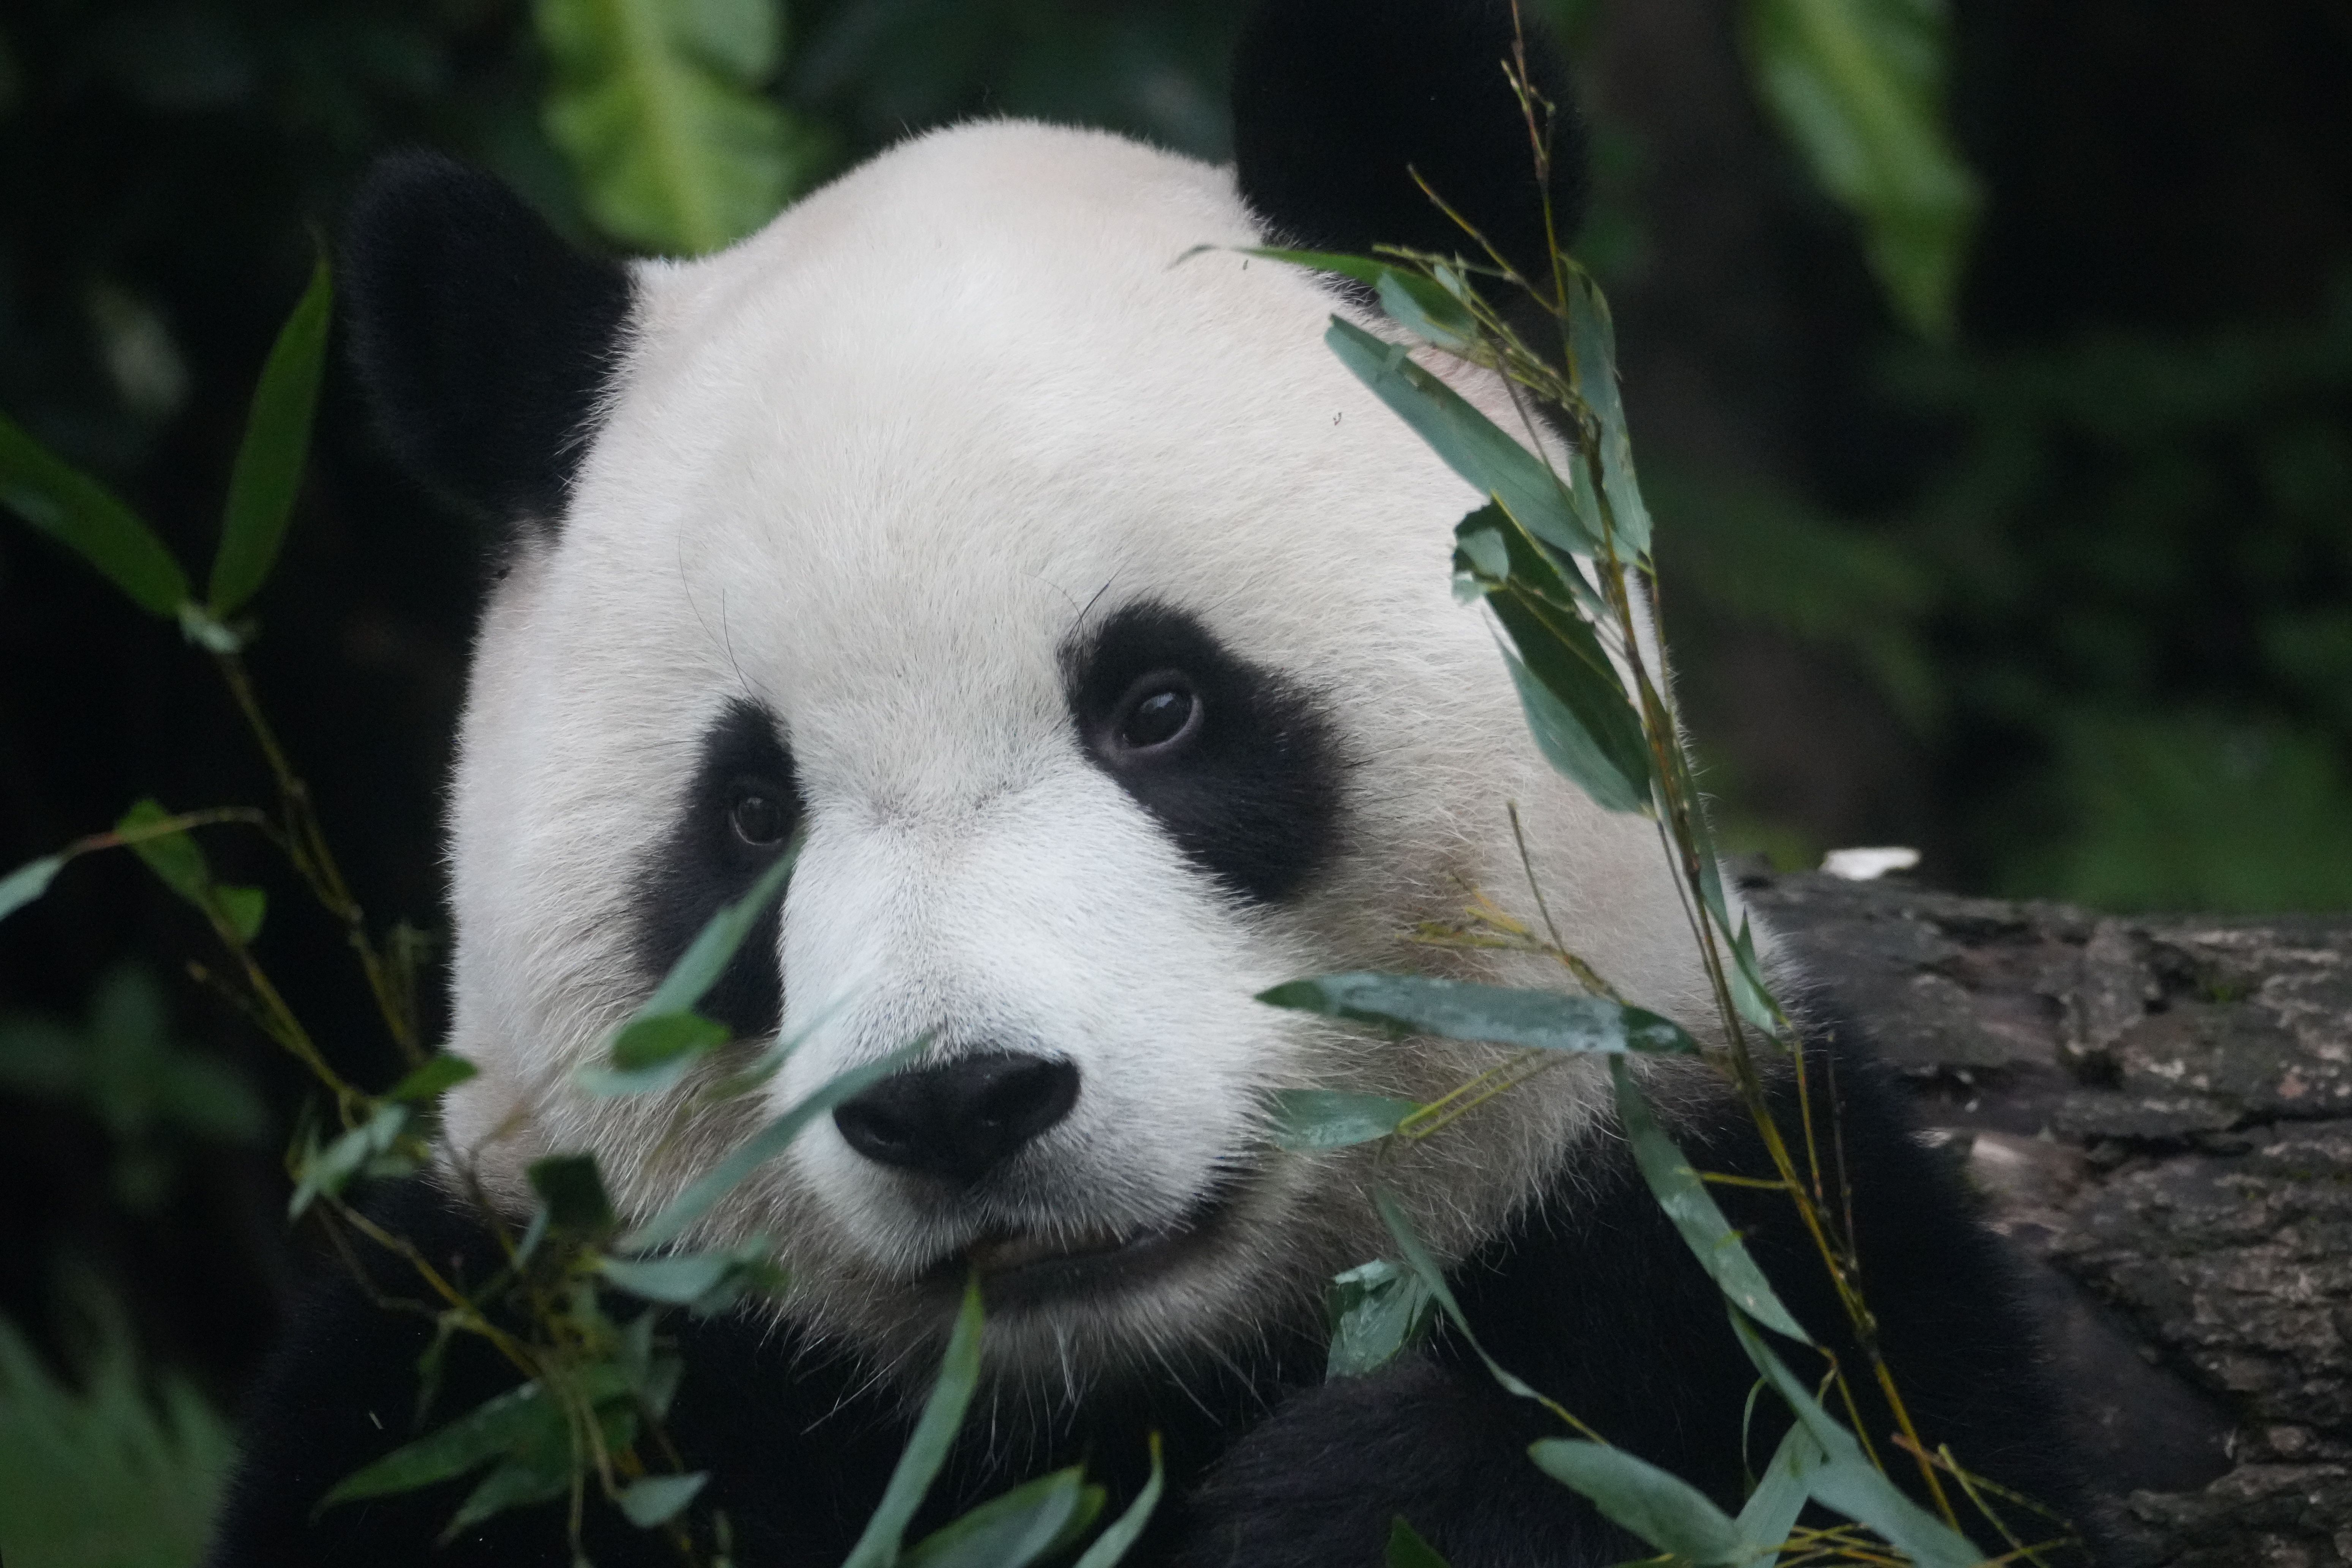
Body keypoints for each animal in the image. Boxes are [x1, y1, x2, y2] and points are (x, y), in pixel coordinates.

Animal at [205, 1, 2092, 1564]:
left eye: (1160, 708)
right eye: (750, 814)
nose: (959, 1103)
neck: (1108, 1389)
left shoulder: (1697, 1188)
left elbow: (1827, 1464)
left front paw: (1359, 1501)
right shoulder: (530, 1340)